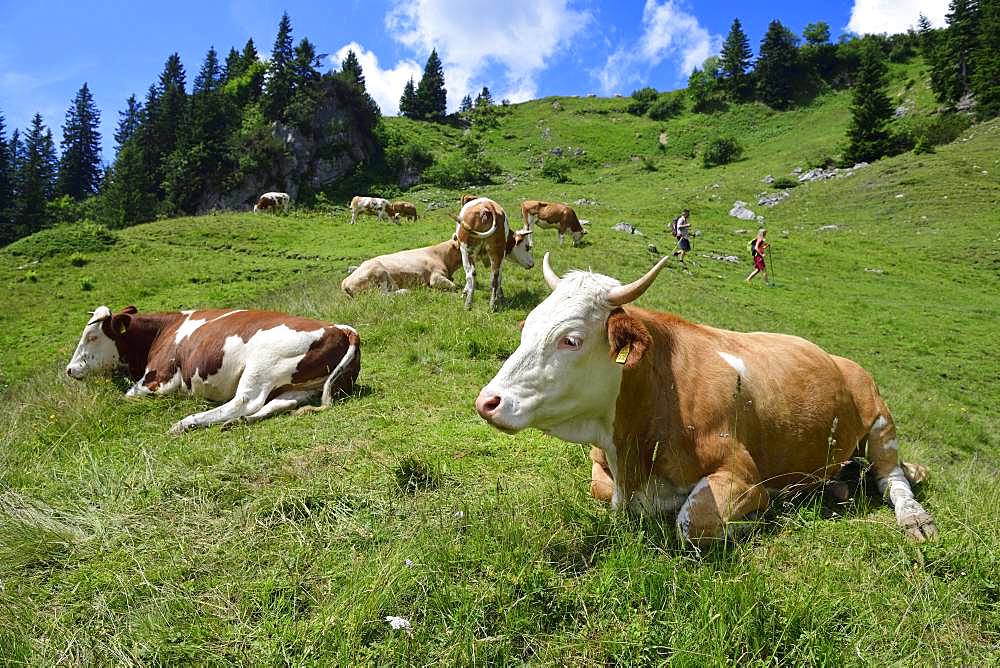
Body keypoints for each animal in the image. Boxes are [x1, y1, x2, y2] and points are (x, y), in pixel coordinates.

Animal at [64, 304, 360, 434]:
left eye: (92, 337)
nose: (69, 369)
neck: (163, 329)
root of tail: (339, 328)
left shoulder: (160, 380)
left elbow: (125, 396)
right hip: (302, 385)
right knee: (278, 404)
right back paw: (237, 423)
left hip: (261, 366)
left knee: (244, 402)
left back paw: (187, 422)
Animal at [476, 253, 936, 544]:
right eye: (527, 326)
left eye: (570, 339)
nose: (488, 401)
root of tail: (842, 360)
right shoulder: (604, 469)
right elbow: (601, 491)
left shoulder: (740, 472)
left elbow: (691, 522)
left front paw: (761, 516)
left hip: (880, 417)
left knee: (892, 479)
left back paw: (915, 519)